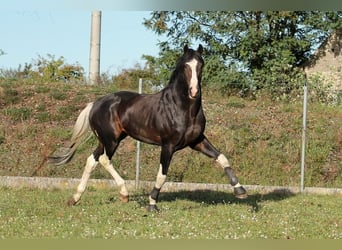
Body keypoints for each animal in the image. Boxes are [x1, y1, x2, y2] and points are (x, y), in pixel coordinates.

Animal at [48, 45, 246, 211]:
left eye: (201, 65)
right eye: (185, 66)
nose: (194, 91)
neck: (182, 108)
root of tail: (95, 104)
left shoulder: (197, 141)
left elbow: (222, 158)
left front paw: (240, 190)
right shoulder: (168, 145)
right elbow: (162, 175)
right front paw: (152, 204)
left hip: (108, 140)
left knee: (92, 160)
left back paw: (75, 198)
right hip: (111, 141)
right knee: (104, 160)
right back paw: (124, 194)